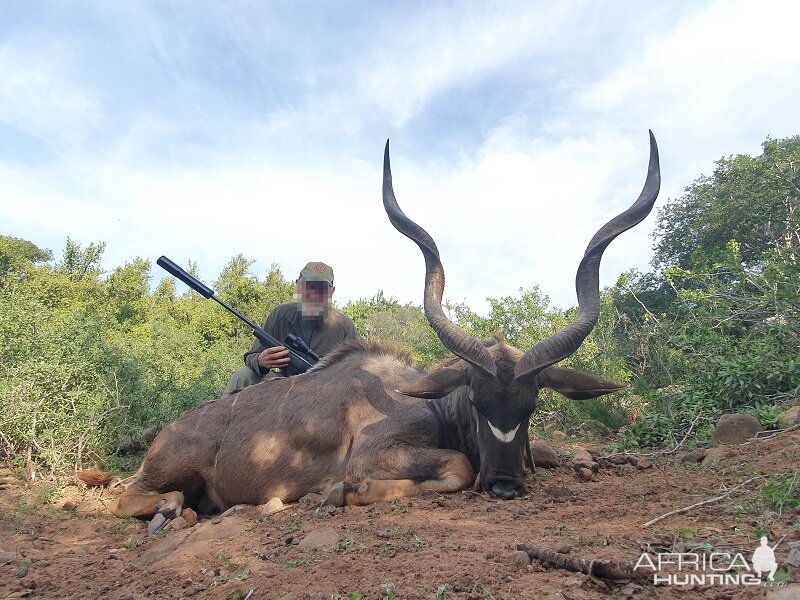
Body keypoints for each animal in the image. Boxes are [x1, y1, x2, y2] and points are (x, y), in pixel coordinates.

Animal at [112, 134, 664, 516]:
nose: (506, 486)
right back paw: (174, 510)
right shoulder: (377, 454)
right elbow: (457, 466)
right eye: (477, 402)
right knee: (128, 495)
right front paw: (336, 492)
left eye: (529, 407)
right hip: (166, 472)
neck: (430, 403)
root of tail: (167, 432)